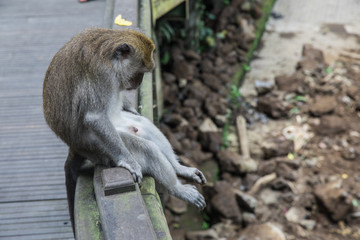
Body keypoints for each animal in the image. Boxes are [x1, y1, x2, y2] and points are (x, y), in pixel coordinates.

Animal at [42, 27, 205, 231]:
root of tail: (75, 147)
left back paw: (179, 168)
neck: (109, 56)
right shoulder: (102, 75)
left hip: (120, 124)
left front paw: (131, 107)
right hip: (98, 149)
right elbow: (94, 118)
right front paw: (129, 161)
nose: (137, 82)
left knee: (144, 125)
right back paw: (177, 189)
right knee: (146, 148)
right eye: (140, 71)